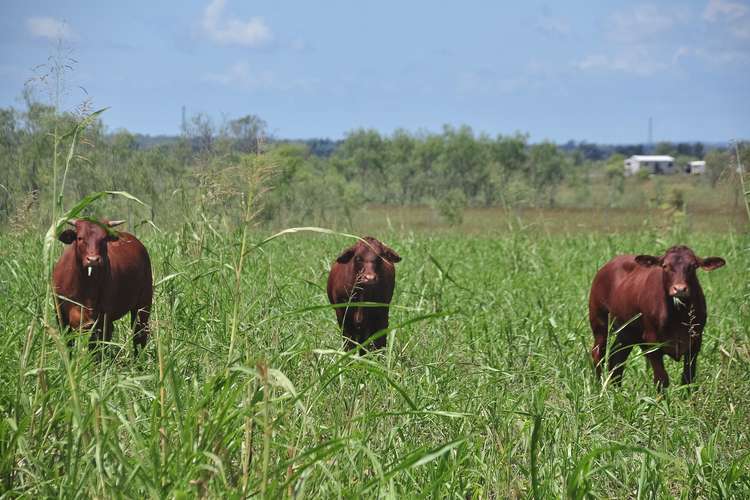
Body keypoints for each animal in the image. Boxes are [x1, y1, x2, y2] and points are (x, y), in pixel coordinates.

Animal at [53, 219, 153, 356]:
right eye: (80, 238)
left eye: (104, 239)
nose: (93, 260)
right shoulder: (62, 317)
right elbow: (69, 345)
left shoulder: (103, 319)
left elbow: (98, 347)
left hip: (143, 306)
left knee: (139, 334)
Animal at [592, 246, 724, 390]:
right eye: (665, 266)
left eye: (693, 266)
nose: (680, 289)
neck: (678, 316)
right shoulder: (652, 342)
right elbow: (661, 379)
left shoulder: (695, 341)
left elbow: (688, 379)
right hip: (599, 321)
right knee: (598, 354)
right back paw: (599, 386)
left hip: (627, 331)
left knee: (617, 357)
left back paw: (616, 389)